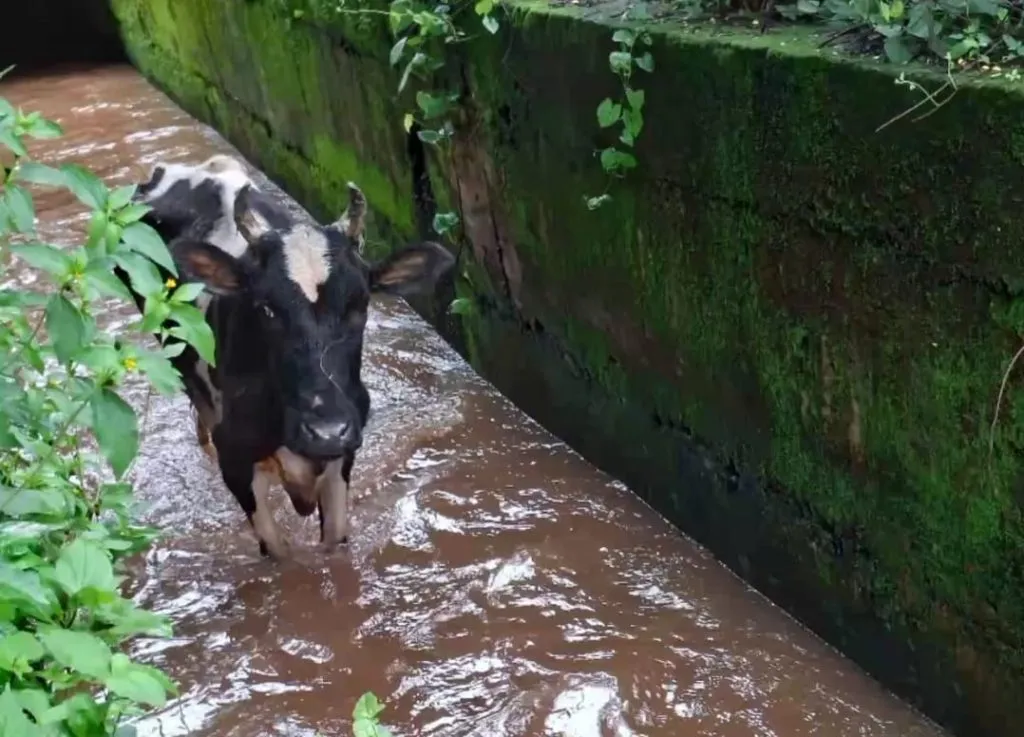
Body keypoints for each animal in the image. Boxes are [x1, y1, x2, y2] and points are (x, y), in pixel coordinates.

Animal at [124, 154, 456, 559]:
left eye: (359, 304)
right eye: (266, 308)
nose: (326, 431)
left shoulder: (344, 453)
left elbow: (335, 540)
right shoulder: (236, 459)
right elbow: (278, 551)